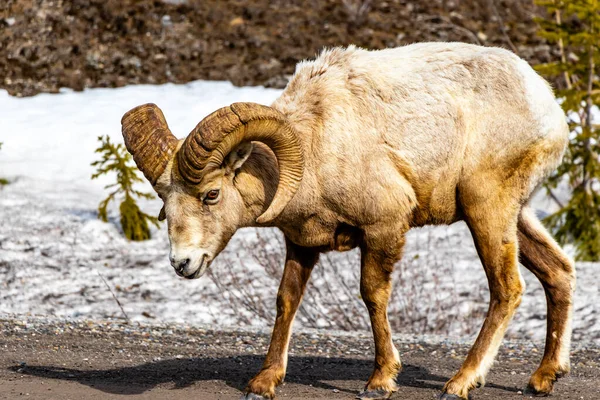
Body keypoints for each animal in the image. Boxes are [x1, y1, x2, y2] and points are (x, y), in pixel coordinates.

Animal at [119, 42, 576, 398]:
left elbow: (372, 295)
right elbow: (286, 300)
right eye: (164, 203)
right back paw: (543, 379)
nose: (182, 263)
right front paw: (264, 383)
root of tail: (547, 102)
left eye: (211, 194)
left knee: (507, 288)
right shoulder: (301, 244)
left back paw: (460, 383)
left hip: (486, 207)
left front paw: (380, 382)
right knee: (558, 272)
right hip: (515, 214)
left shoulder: (384, 228)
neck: (316, 146)